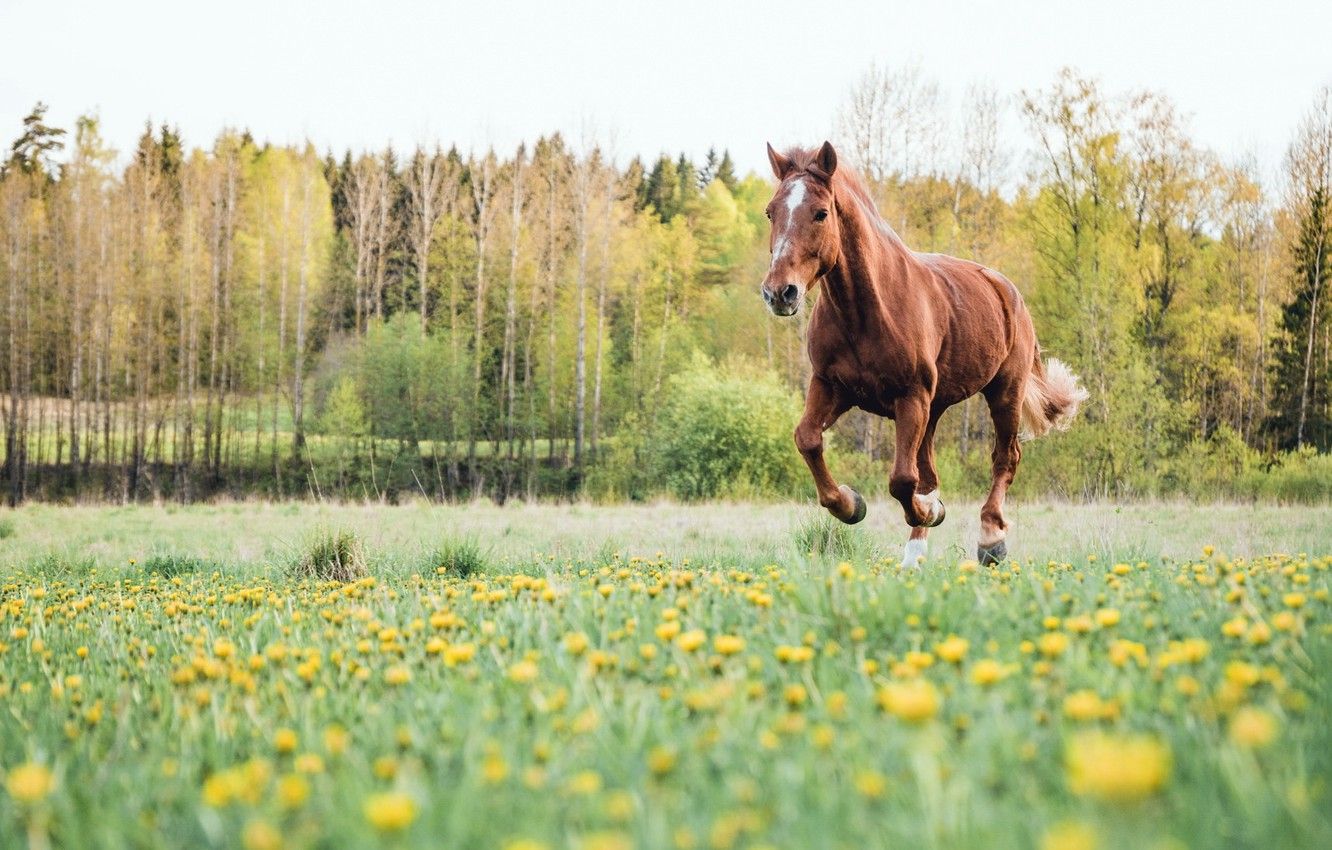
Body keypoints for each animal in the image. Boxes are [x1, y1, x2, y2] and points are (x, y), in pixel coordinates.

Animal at [760, 141, 1086, 566]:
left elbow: (901, 480)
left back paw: (990, 540)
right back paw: (914, 554)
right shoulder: (831, 387)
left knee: (1004, 457)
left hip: (1004, 392)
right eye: (771, 212)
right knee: (930, 470)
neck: (864, 312)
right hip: (934, 408)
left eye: (820, 213)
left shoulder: (910, 396)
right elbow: (808, 440)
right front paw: (851, 504)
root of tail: (1005, 288)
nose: (779, 293)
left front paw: (930, 511)